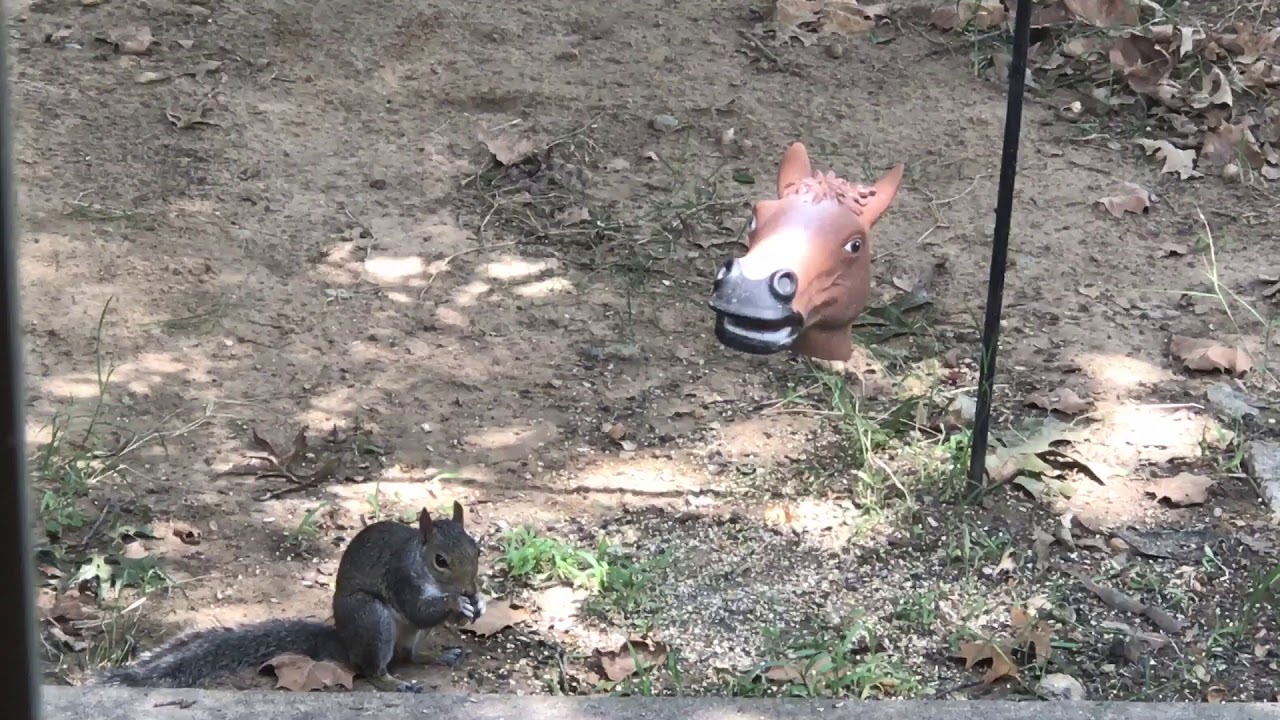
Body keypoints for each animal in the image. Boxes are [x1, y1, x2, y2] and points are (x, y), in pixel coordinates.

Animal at [86, 501, 486, 693]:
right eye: (441, 560)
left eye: (477, 548)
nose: (469, 590)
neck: (419, 562)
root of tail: (342, 642)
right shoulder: (401, 579)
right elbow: (419, 609)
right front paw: (456, 604)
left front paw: (477, 604)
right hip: (372, 620)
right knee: (374, 667)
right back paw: (393, 682)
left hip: (399, 635)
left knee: (409, 654)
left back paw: (439, 654)